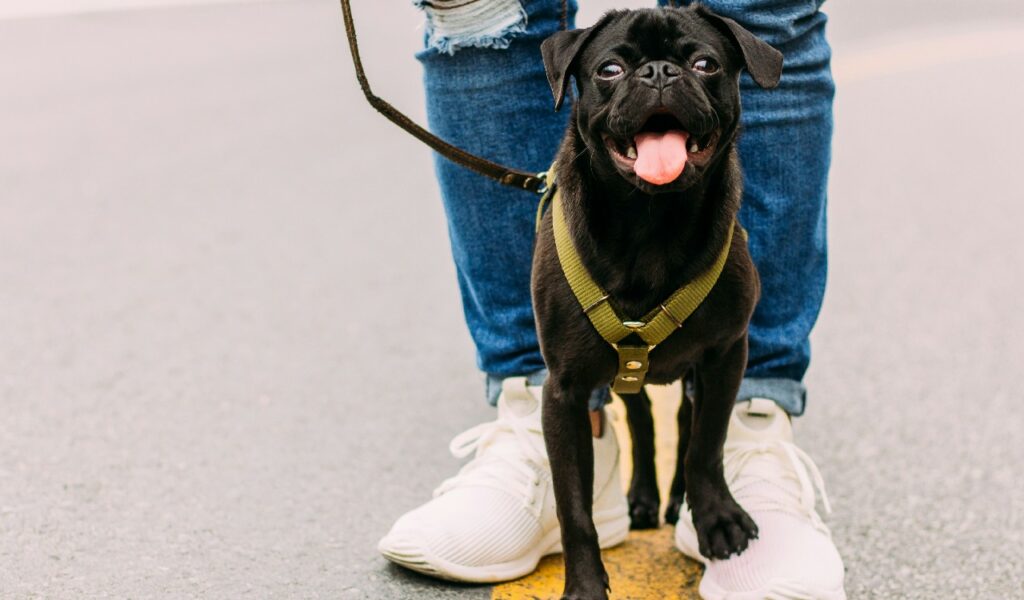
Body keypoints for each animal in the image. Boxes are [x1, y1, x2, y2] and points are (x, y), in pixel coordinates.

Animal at [532, 5, 778, 597]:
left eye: (706, 64)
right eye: (610, 70)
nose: (660, 72)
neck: (650, 224)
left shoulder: (726, 355)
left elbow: (706, 444)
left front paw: (715, 518)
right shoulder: (563, 393)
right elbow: (573, 505)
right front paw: (584, 584)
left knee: (685, 422)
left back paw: (677, 500)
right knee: (642, 420)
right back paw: (643, 498)